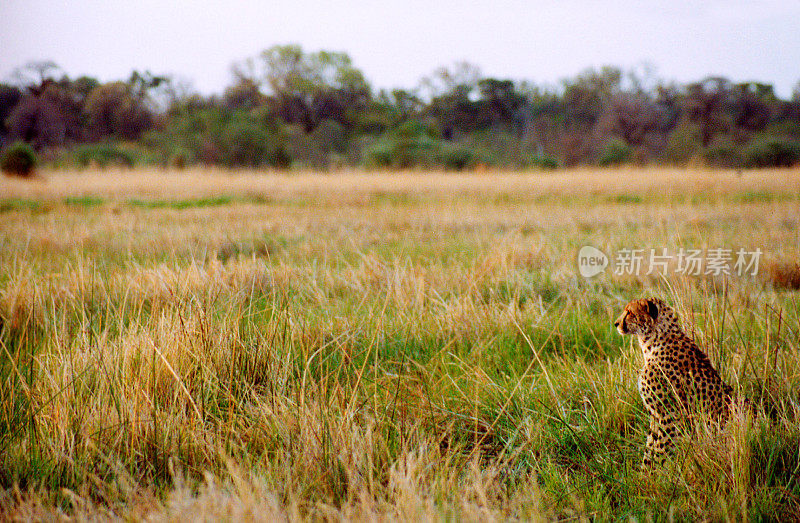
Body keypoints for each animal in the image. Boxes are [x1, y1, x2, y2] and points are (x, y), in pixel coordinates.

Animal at [616, 296, 740, 468]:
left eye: (629, 312)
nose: (616, 323)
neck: (655, 339)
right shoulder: (656, 416)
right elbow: (650, 447)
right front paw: (644, 472)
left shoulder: (670, 414)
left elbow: (659, 449)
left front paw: (655, 473)